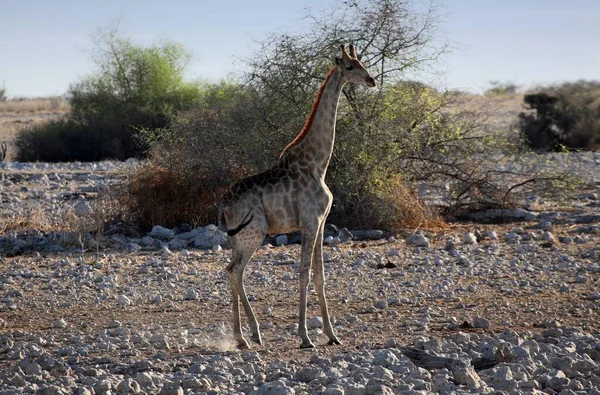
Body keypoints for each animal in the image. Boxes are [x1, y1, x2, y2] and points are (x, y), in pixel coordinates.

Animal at [223, 44, 378, 350]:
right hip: (253, 234)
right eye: (350, 67)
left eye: (362, 63)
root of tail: (224, 205)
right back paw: (247, 336)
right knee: (235, 271)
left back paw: (247, 336)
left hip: (239, 238)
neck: (318, 164)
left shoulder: (321, 221)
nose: (371, 80)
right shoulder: (309, 221)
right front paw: (306, 337)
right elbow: (304, 275)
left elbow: (320, 276)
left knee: (232, 270)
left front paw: (332, 334)